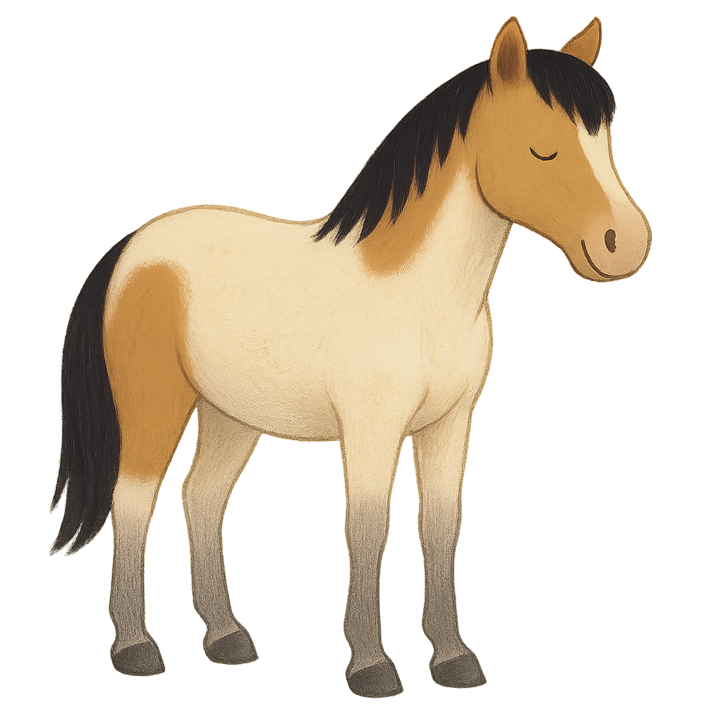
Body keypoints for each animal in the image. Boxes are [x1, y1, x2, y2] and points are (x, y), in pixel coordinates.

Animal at [50, 17, 651, 698]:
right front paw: (372, 665)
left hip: (231, 415)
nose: (627, 245)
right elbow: (368, 529)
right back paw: (135, 647)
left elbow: (440, 528)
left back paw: (227, 638)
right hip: (154, 408)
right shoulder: (372, 428)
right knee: (133, 503)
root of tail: (131, 247)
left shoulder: (450, 425)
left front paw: (453, 657)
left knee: (202, 499)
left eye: (604, 146)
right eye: (542, 149)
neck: (417, 294)